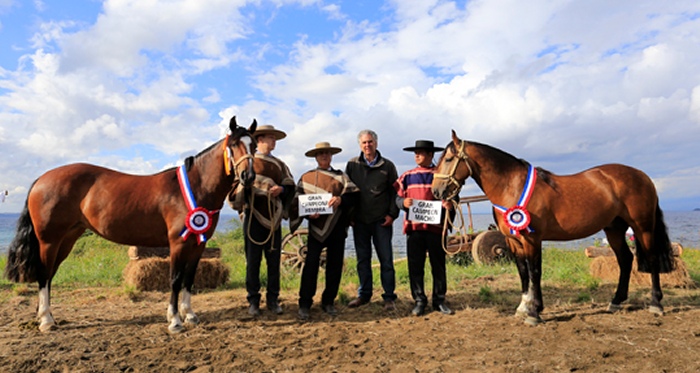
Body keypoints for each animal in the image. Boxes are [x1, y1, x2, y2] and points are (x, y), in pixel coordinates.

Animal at [4, 115, 258, 332]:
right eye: (234, 145)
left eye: (254, 146)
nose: (248, 176)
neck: (195, 187)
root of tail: (41, 179)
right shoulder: (178, 243)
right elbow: (175, 279)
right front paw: (175, 321)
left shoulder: (198, 245)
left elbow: (188, 279)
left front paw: (190, 315)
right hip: (49, 240)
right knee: (44, 274)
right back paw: (46, 320)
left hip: (67, 239)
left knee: (49, 274)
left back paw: (47, 317)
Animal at [430, 129, 676, 324]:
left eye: (449, 159)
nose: (436, 191)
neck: (512, 186)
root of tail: (642, 176)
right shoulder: (513, 241)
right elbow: (523, 272)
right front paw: (523, 307)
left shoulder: (532, 239)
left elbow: (535, 271)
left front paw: (535, 312)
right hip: (614, 229)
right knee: (625, 260)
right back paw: (615, 302)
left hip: (643, 227)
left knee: (651, 258)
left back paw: (656, 304)